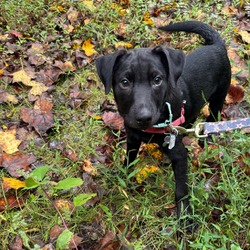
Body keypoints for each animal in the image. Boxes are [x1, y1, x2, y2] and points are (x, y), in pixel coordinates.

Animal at [95, 21, 230, 230]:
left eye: (157, 80)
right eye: (125, 82)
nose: (144, 117)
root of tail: (215, 44)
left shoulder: (179, 154)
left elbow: (181, 188)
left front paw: (185, 216)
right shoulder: (132, 137)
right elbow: (129, 158)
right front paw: (125, 176)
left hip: (219, 96)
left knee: (213, 116)